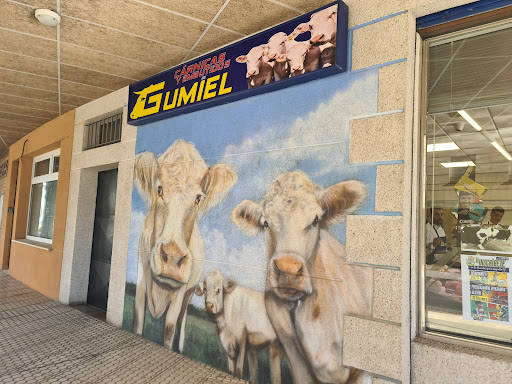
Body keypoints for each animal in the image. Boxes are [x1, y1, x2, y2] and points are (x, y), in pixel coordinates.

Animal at [132, 140, 236, 352]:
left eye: (198, 198)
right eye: (159, 189)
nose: (172, 258)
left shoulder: (181, 291)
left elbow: (170, 328)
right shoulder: (141, 273)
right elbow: (138, 318)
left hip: (191, 292)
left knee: (181, 321)